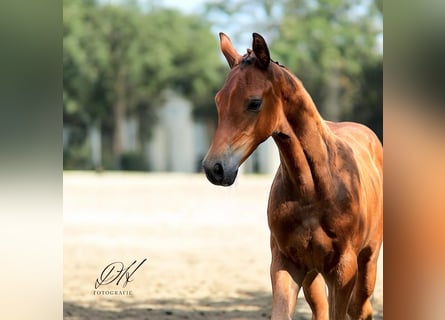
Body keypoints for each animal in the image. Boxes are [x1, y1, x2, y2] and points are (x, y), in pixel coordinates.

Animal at [202, 33, 382, 320]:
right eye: (219, 100)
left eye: (254, 102)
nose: (214, 168)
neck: (311, 189)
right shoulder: (285, 262)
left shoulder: (343, 269)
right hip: (313, 274)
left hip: (368, 259)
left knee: (360, 308)